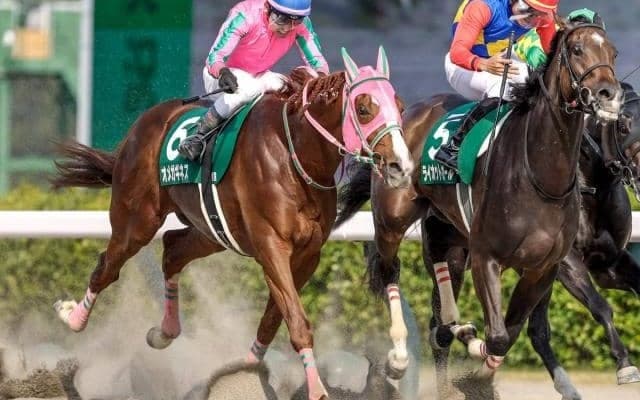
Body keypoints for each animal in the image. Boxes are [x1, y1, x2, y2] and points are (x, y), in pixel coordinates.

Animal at [50, 47, 414, 400]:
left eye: (400, 107)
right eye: (364, 108)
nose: (400, 165)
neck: (295, 155)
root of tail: (142, 125)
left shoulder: (308, 255)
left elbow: (274, 318)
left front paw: (245, 371)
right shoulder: (271, 247)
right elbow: (296, 320)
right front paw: (318, 391)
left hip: (210, 230)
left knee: (172, 250)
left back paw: (164, 332)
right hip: (137, 219)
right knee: (108, 266)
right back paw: (73, 316)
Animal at [335, 21, 622, 382]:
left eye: (613, 52)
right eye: (577, 49)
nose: (609, 95)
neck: (541, 178)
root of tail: (407, 113)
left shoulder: (544, 268)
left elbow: (509, 334)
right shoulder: (488, 257)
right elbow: (497, 336)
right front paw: (474, 359)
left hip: (448, 231)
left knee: (439, 300)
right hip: (392, 219)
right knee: (391, 271)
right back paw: (399, 357)